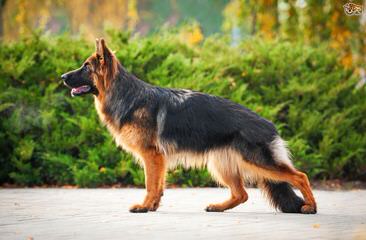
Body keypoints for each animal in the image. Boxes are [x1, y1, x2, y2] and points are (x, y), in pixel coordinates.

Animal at [61, 38, 316, 214]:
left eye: (86, 67)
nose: (62, 77)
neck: (128, 96)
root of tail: (269, 124)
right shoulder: (158, 159)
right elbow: (158, 186)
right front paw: (152, 206)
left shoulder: (152, 156)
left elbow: (150, 184)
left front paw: (144, 207)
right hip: (221, 163)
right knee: (241, 194)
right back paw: (218, 207)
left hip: (256, 162)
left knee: (300, 176)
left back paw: (310, 207)